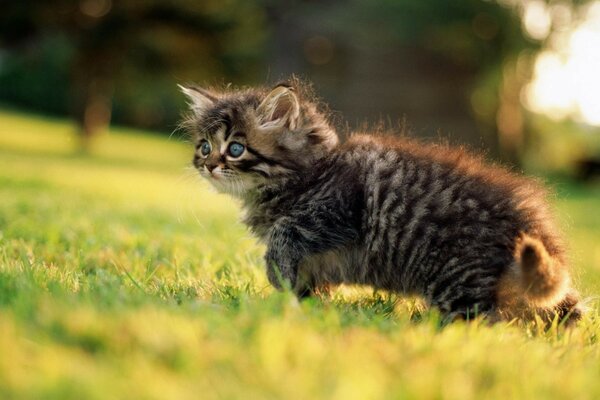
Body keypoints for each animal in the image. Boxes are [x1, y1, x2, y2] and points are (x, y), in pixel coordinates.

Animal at [179, 79, 580, 324]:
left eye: (235, 149)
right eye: (204, 146)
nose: (209, 165)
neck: (311, 173)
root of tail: (535, 226)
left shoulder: (338, 209)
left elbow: (285, 232)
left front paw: (277, 275)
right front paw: (303, 304)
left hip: (459, 279)